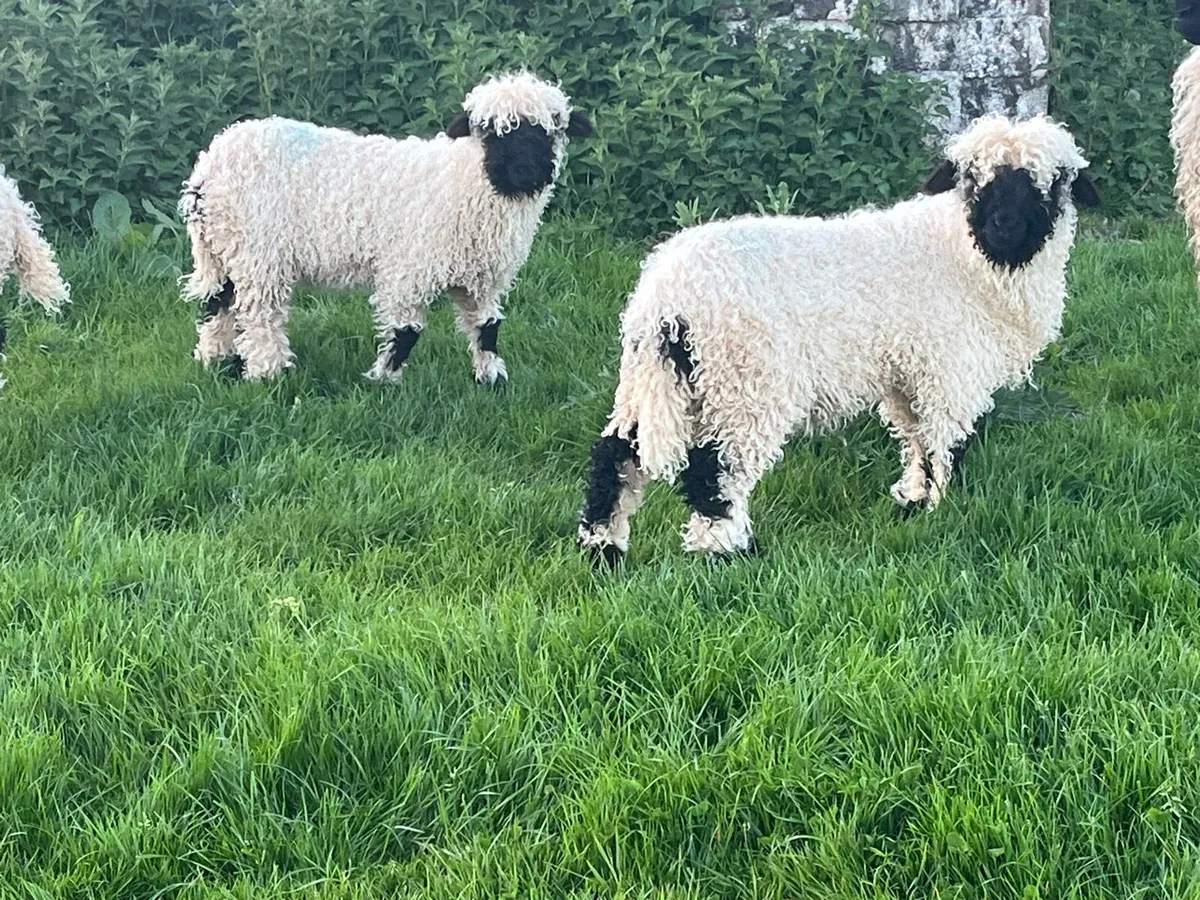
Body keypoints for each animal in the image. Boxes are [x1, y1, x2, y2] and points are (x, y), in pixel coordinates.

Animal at [179, 72, 592, 383]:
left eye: (550, 129)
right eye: (488, 131)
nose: (522, 172)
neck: (466, 181)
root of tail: (208, 169)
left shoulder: (481, 278)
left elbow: (487, 327)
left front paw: (490, 377)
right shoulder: (409, 268)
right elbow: (406, 331)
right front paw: (383, 379)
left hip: (223, 248)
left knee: (216, 303)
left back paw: (215, 359)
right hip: (259, 252)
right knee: (258, 314)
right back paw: (267, 372)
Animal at [578, 114, 1100, 564]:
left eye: (1052, 182)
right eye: (972, 179)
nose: (1003, 227)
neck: (968, 258)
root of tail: (664, 298)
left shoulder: (907, 374)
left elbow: (916, 440)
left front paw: (913, 500)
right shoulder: (948, 371)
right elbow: (945, 443)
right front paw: (943, 509)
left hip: (656, 381)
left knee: (615, 454)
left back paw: (603, 548)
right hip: (745, 382)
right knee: (715, 471)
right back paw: (727, 551)